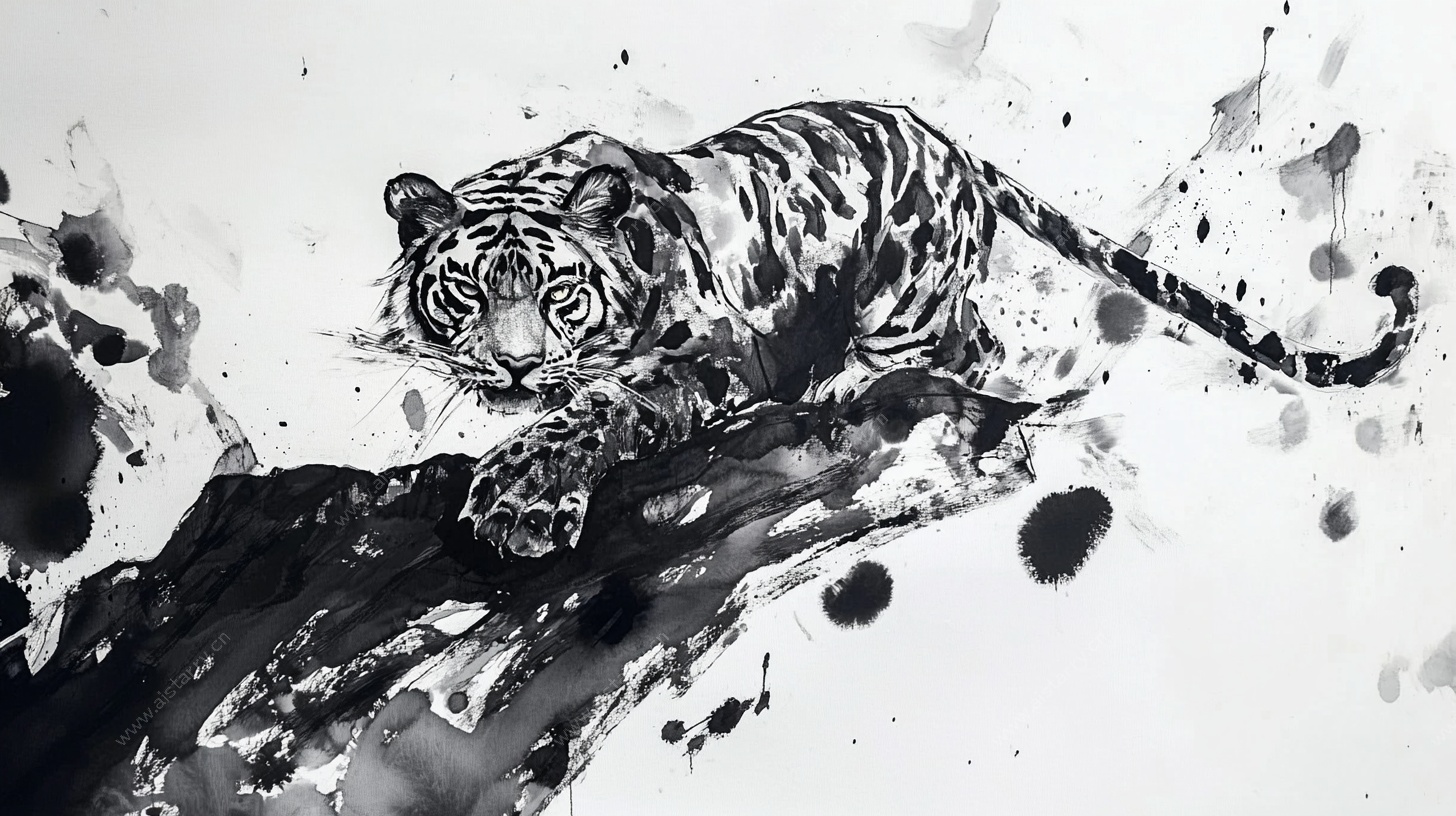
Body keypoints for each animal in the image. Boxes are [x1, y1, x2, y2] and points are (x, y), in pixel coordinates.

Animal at [363, 100, 1419, 559]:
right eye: (465, 291)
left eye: (559, 295)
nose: (512, 368)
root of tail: (958, 147)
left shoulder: (712, 359)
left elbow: (597, 405)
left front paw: (520, 496)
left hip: (904, 293)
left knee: (949, 355)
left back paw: (845, 383)